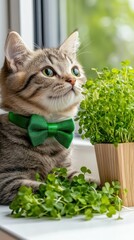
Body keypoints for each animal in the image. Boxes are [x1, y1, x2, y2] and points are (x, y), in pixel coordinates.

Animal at [0, 30, 86, 204]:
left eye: (75, 71)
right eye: (48, 72)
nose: (72, 79)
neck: (49, 129)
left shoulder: (66, 170)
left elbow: (82, 179)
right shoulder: (7, 179)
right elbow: (46, 188)